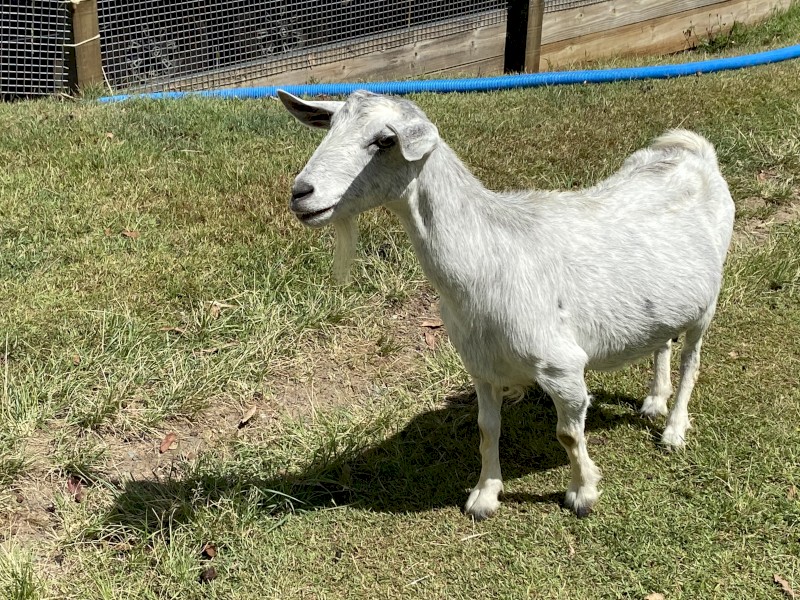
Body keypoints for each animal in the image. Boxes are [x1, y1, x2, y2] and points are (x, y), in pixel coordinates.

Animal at [278, 89, 735, 519]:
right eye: (331, 127)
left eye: (384, 140)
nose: (301, 193)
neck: (491, 255)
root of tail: (692, 151)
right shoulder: (480, 364)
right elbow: (486, 429)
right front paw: (484, 495)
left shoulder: (563, 368)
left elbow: (568, 435)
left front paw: (582, 493)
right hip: (662, 303)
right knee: (663, 341)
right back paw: (654, 401)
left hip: (708, 303)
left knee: (692, 359)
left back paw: (674, 429)